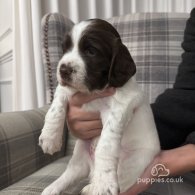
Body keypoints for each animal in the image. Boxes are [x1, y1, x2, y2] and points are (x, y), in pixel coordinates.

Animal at [39, 18, 160, 195]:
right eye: (65, 49)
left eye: (91, 51)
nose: (63, 70)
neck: (94, 90)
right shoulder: (67, 89)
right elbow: (55, 108)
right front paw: (49, 138)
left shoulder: (122, 106)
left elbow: (106, 144)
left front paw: (104, 184)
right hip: (80, 159)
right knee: (70, 173)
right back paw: (52, 188)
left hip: (132, 164)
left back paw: (95, 186)